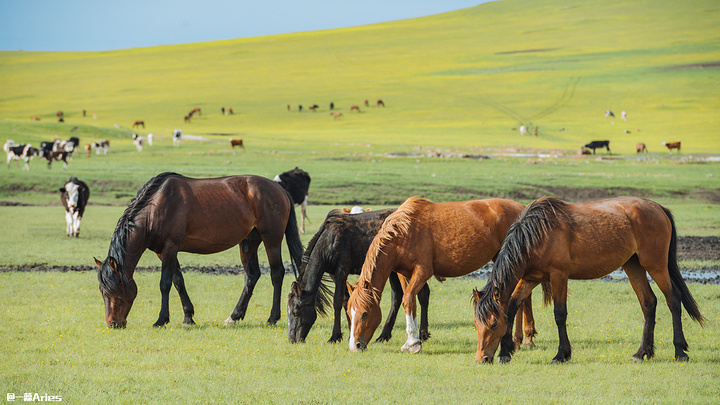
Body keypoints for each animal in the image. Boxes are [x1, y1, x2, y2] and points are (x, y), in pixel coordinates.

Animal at [93, 171, 304, 328]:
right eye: (102, 291)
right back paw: (234, 316)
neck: (155, 209)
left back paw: (272, 318)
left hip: (272, 239)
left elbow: (165, 283)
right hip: (249, 242)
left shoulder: (170, 247)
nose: (113, 324)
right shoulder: (164, 251)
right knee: (251, 276)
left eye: (115, 290)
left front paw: (161, 320)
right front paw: (188, 317)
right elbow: (178, 281)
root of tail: (280, 189)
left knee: (277, 274)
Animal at [288, 208, 434, 344]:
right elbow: (346, 300)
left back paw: (422, 334)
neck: (328, 241)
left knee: (422, 293)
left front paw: (335, 336)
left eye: (296, 311)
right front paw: (350, 334)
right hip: (393, 270)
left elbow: (337, 301)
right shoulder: (333, 274)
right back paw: (383, 335)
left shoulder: (342, 270)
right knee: (398, 296)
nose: (292, 339)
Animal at [348, 197, 528, 352]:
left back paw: (519, 340)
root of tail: (523, 208)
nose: (355, 345)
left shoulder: (422, 271)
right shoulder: (404, 274)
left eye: (365, 313)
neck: (404, 232)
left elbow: (407, 299)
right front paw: (413, 340)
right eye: (349, 313)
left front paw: (413, 342)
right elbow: (411, 302)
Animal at [472, 196, 704, 362]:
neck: (537, 235)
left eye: (493, 324)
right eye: (476, 324)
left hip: (656, 265)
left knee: (673, 300)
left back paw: (680, 351)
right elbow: (511, 308)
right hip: (633, 266)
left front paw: (562, 354)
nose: (482, 359)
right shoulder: (530, 279)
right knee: (648, 303)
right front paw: (505, 353)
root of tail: (658, 207)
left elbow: (560, 314)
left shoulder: (559, 276)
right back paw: (642, 352)